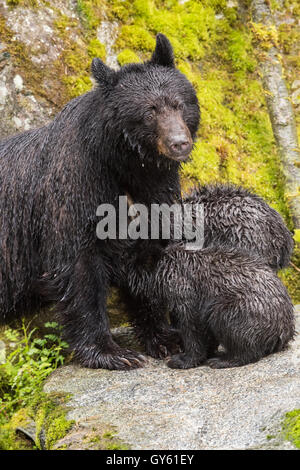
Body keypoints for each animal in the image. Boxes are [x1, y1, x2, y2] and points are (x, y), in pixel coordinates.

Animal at [1, 34, 200, 370]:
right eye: (149, 111)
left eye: (179, 103)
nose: (179, 143)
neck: (126, 164)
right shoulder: (77, 190)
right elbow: (79, 269)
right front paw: (112, 352)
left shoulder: (154, 193)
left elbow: (148, 259)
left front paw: (166, 337)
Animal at [125, 244, 296, 370]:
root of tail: (284, 331)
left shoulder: (183, 288)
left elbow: (192, 325)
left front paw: (183, 359)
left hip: (242, 308)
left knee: (226, 320)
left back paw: (224, 360)